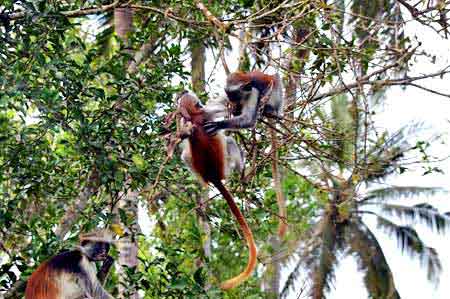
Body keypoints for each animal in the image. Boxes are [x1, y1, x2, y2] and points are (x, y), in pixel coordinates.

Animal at [179, 92, 256, 290]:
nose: (183, 91)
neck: (194, 117)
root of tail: (213, 176)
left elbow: (183, 135)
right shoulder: (209, 111)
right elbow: (225, 106)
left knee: (185, 155)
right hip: (227, 167)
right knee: (230, 141)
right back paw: (243, 170)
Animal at [204, 71, 288, 238]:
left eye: (235, 94)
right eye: (228, 93)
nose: (232, 101)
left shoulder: (253, 94)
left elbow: (249, 120)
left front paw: (219, 124)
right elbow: (213, 105)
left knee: (275, 78)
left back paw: (272, 109)